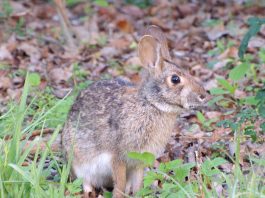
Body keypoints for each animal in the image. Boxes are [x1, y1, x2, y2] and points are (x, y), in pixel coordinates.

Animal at [60, 25, 209, 197]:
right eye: (175, 79)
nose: (203, 96)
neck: (151, 104)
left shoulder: (139, 161)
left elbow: (138, 183)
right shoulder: (118, 156)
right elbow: (119, 183)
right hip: (79, 161)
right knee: (84, 181)